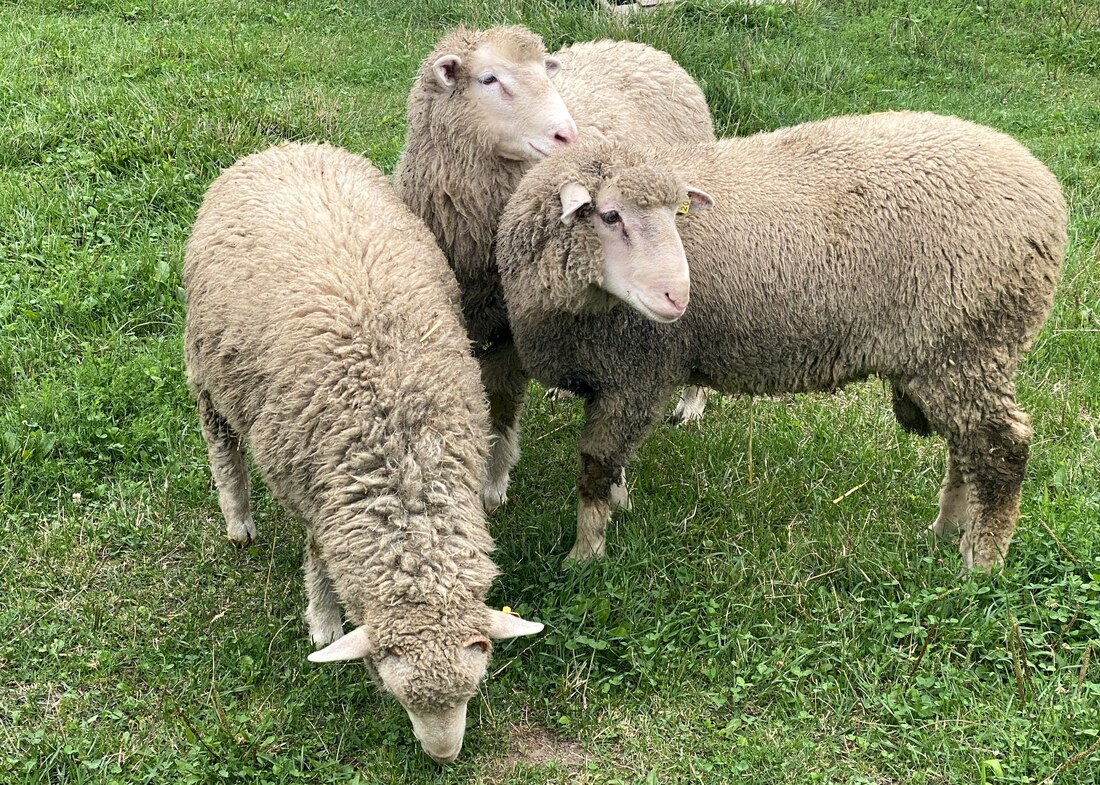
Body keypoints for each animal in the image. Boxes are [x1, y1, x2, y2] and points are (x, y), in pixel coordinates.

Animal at [182, 142, 542, 765]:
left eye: (472, 687)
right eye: (392, 688)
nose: (444, 757)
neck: (404, 467)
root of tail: (285, 147)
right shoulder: (313, 491)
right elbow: (317, 557)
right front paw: (324, 622)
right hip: (208, 368)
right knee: (221, 444)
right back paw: (238, 520)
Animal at [394, 25, 715, 515]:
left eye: (546, 74)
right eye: (488, 79)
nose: (567, 135)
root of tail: (643, 48)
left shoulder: (509, 327)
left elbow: (501, 402)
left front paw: (492, 486)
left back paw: (692, 404)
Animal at [494, 111, 1067, 569]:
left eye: (678, 214)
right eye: (609, 216)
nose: (679, 298)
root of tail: (1045, 192)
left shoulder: (636, 371)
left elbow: (595, 464)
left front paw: (584, 555)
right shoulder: (615, 378)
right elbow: (613, 462)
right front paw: (619, 508)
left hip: (970, 341)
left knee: (1000, 449)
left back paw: (981, 560)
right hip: (946, 354)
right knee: (965, 447)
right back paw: (946, 531)